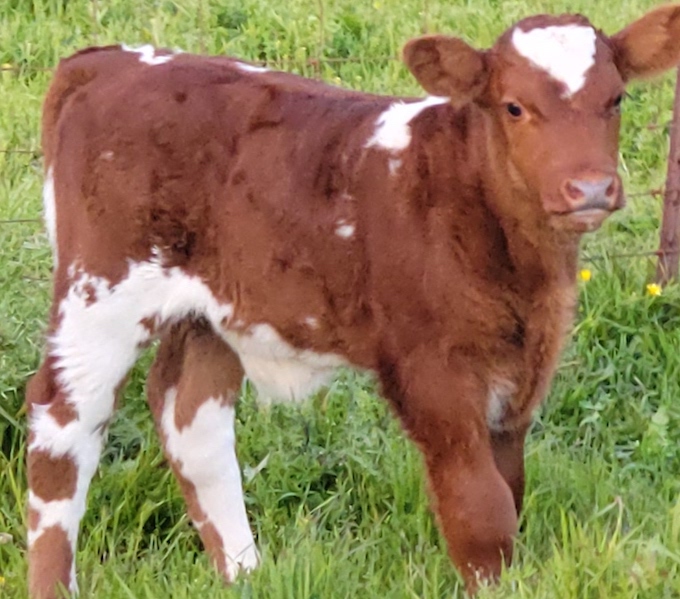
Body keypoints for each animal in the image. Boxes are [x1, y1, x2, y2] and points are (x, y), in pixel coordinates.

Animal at [25, 4, 680, 597]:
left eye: (617, 99)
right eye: (514, 106)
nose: (590, 188)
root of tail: (105, 61)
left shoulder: (521, 371)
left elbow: (511, 491)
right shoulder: (431, 371)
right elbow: (481, 509)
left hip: (212, 308)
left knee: (192, 421)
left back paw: (246, 574)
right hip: (100, 291)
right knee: (63, 426)